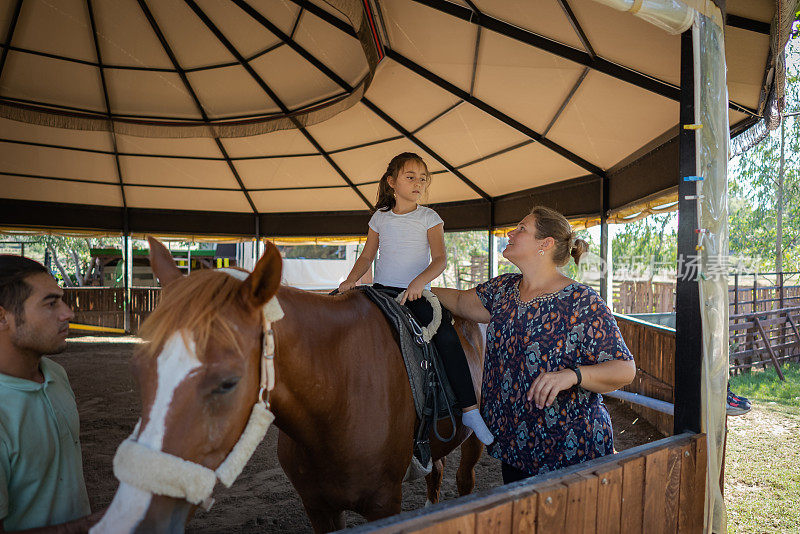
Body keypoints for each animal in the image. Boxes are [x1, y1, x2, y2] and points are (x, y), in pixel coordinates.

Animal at [91, 240, 484, 534]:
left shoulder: (384, 504)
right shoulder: (319, 508)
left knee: (464, 480)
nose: (134, 515)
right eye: (140, 369)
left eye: (228, 383)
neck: (338, 396)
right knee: (437, 471)